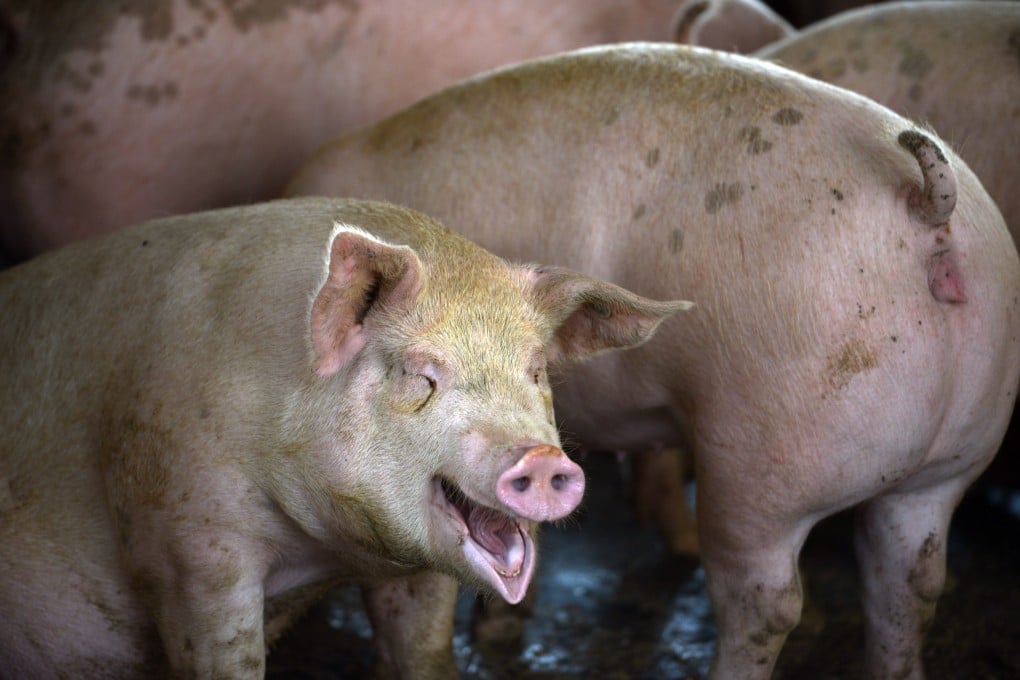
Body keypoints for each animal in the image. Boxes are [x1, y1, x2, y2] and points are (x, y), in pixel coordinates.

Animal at [0, 196, 687, 678]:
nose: (542, 459)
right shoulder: (182, 544)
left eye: (536, 370)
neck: (321, 552)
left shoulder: (417, 573)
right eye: (421, 374)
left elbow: (423, 653)